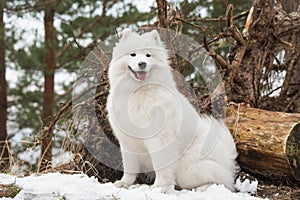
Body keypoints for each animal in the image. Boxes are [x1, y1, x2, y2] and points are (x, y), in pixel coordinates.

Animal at [106, 28, 238, 191]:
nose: (142, 63)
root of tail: (226, 159)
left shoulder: (159, 139)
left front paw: (159, 186)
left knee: (222, 182)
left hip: (187, 169)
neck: (138, 92)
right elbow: (129, 166)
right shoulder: (127, 140)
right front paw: (125, 183)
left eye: (148, 55)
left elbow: (160, 165)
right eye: (133, 54)